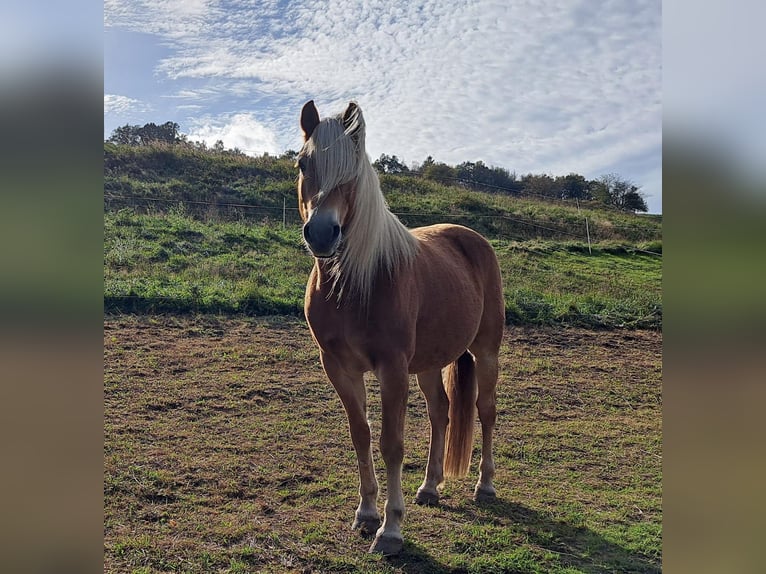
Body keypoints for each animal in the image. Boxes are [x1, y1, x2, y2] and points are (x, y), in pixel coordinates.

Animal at [296, 100, 508, 560]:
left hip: (486, 353)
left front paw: (390, 530)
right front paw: (366, 514)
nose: (321, 233)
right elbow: (361, 436)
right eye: (303, 163)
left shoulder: (392, 369)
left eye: (354, 167)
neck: (356, 282)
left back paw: (485, 485)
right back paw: (429, 487)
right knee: (441, 413)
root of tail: (472, 239)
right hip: (428, 363)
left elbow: (391, 444)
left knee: (485, 411)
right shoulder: (339, 367)